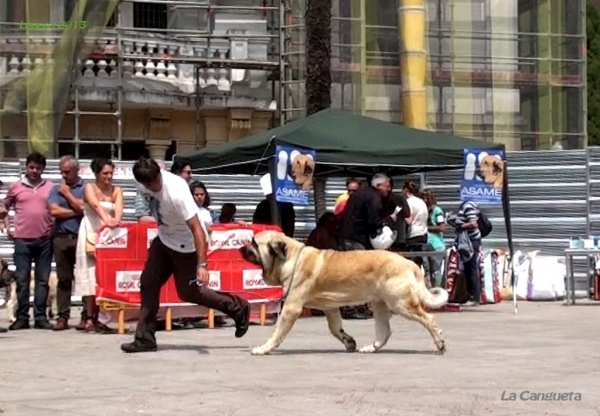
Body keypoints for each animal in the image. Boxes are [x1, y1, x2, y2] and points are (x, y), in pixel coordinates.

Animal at [239, 231, 450, 354]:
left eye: (254, 243)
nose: (241, 247)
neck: (289, 258)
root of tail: (409, 263)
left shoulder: (291, 308)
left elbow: (278, 332)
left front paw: (264, 348)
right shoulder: (330, 308)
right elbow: (335, 328)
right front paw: (349, 342)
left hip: (400, 304)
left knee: (428, 319)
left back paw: (440, 344)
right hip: (380, 305)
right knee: (384, 332)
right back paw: (370, 348)